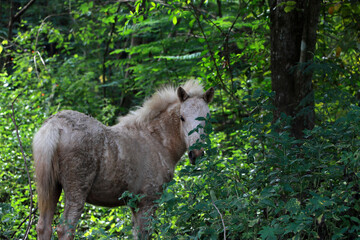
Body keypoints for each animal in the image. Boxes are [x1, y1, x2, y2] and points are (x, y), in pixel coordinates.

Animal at [33, 79, 214, 239]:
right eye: (182, 117)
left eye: (207, 117)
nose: (196, 154)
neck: (157, 141)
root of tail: (55, 126)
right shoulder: (148, 200)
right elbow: (144, 234)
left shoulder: (134, 204)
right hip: (76, 190)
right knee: (65, 229)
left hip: (51, 187)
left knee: (44, 227)